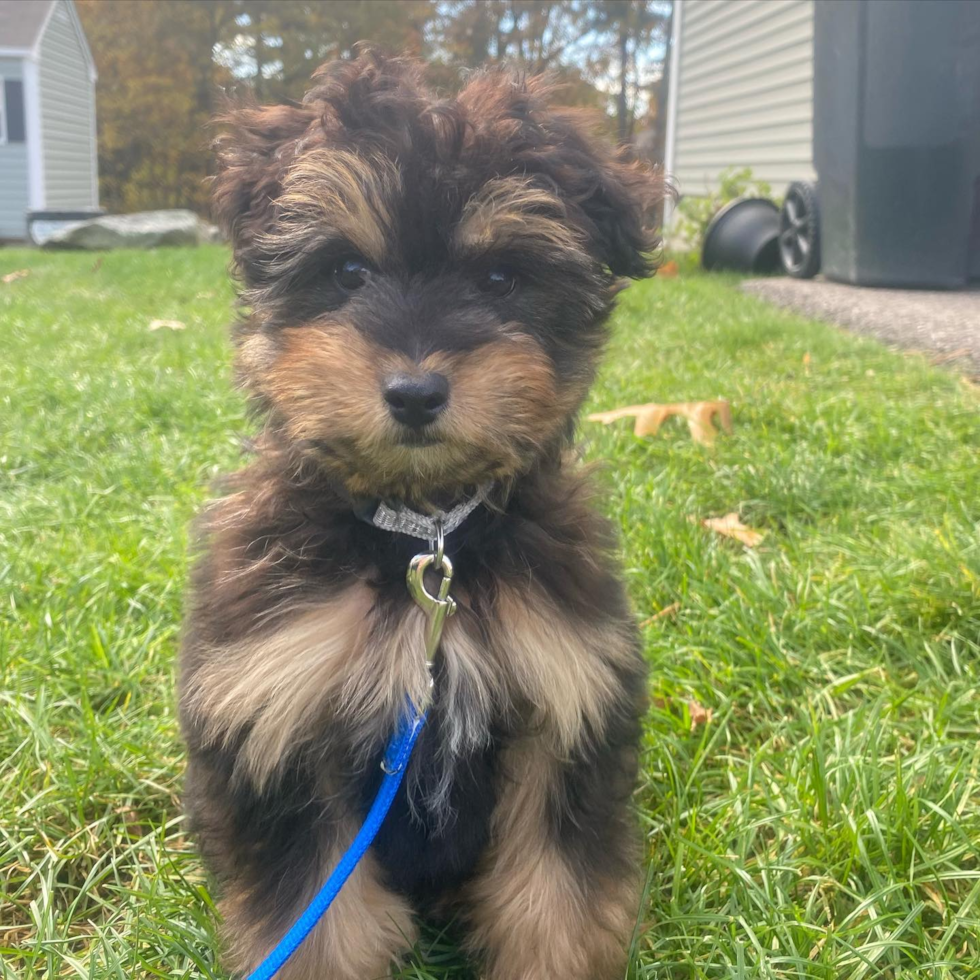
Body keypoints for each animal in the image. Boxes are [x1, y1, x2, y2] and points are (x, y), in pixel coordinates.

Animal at [180, 51, 664, 980]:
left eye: (502, 278)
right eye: (347, 273)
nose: (413, 392)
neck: (424, 531)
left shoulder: (563, 705)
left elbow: (552, 901)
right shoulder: (279, 718)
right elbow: (315, 928)